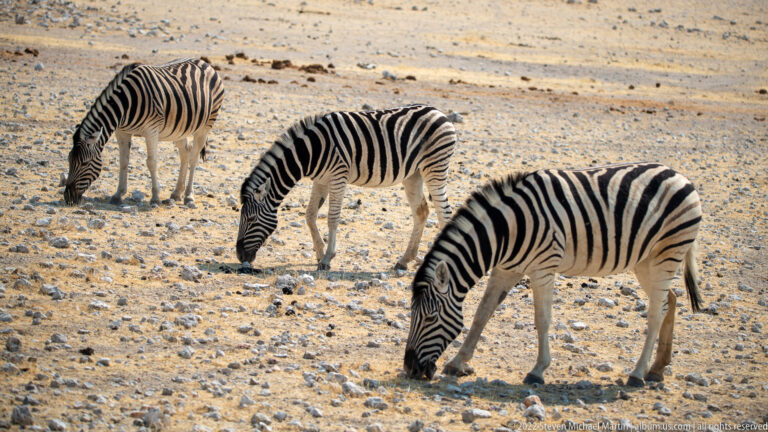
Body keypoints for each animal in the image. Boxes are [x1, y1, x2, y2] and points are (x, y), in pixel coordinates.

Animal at [63, 58, 224, 205]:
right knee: (185, 154)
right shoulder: (122, 132)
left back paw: (189, 196)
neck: (125, 104)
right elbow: (123, 161)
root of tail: (205, 63)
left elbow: (151, 162)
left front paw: (155, 197)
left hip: (205, 125)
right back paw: (177, 193)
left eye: (85, 163)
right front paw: (118, 194)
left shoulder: (151, 130)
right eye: (69, 160)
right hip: (180, 129)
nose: (68, 197)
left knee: (194, 157)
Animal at [236, 105, 457, 271]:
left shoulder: (338, 177)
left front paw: (327, 258)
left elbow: (332, 218)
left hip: (434, 168)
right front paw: (319, 253)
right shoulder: (321, 180)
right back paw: (405, 260)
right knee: (421, 211)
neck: (311, 152)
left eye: (251, 219)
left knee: (444, 213)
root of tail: (439, 112)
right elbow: (310, 215)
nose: (239, 256)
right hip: (413, 174)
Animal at [404, 162, 703, 387]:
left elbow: (543, 319)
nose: (410, 368)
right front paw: (458, 362)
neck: (506, 229)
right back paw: (658, 368)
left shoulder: (543, 268)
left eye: (430, 317)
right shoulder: (506, 269)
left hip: (667, 252)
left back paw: (638, 373)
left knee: (655, 313)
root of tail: (680, 175)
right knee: (670, 300)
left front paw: (537, 371)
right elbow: (482, 314)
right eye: (412, 315)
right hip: (646, 260)